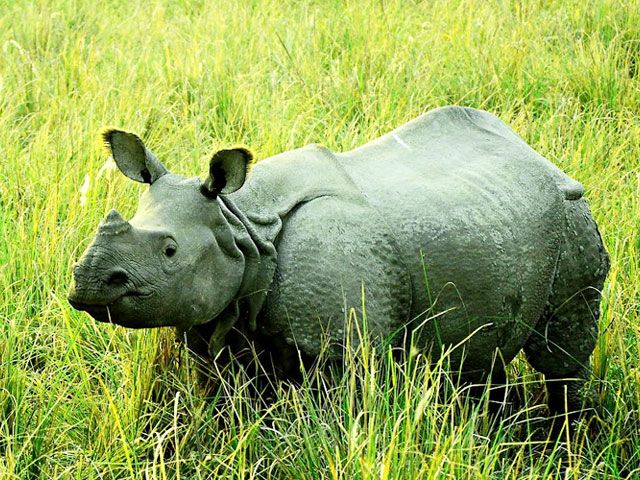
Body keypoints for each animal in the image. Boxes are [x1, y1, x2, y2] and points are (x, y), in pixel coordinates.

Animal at [68, 106, 609, 413]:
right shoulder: (220, 319)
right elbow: (224, 401)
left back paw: (565, 434)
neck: (241, 224)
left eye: (170, 250)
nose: (89, 281)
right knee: (478, 356)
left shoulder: (344, 342)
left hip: (572, 213)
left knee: (561, 349)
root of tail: (535, 154)